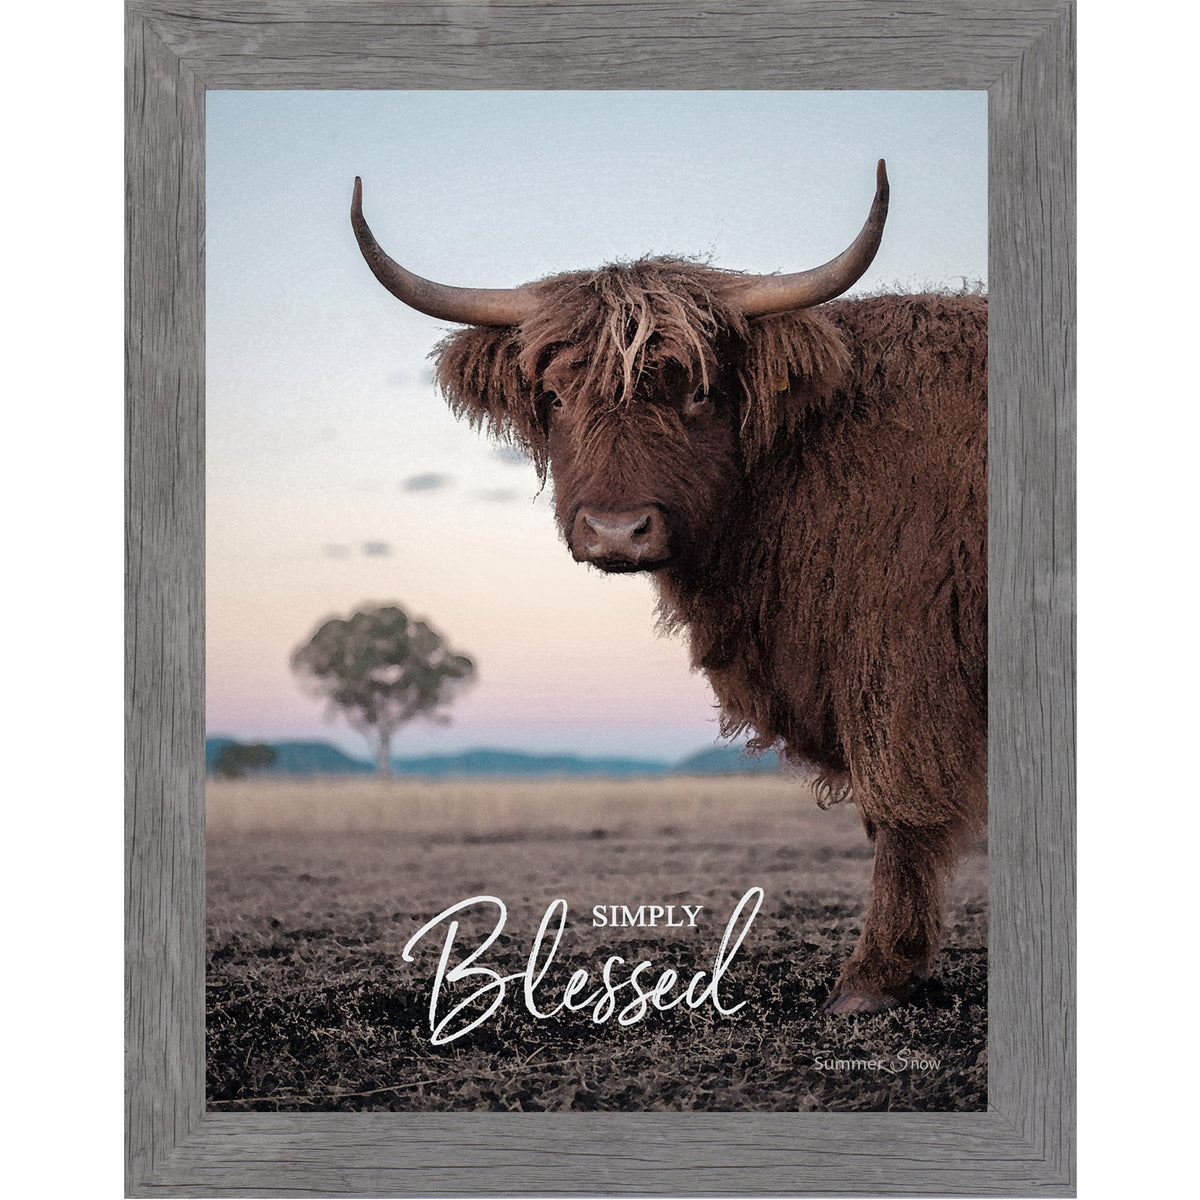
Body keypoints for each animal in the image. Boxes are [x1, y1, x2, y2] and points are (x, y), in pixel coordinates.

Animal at [350, 161, 987, 1014]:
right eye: (556, 397)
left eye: (697, 392)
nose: (618, 531)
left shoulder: (902, 658)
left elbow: (898, 810)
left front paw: (873, 976)